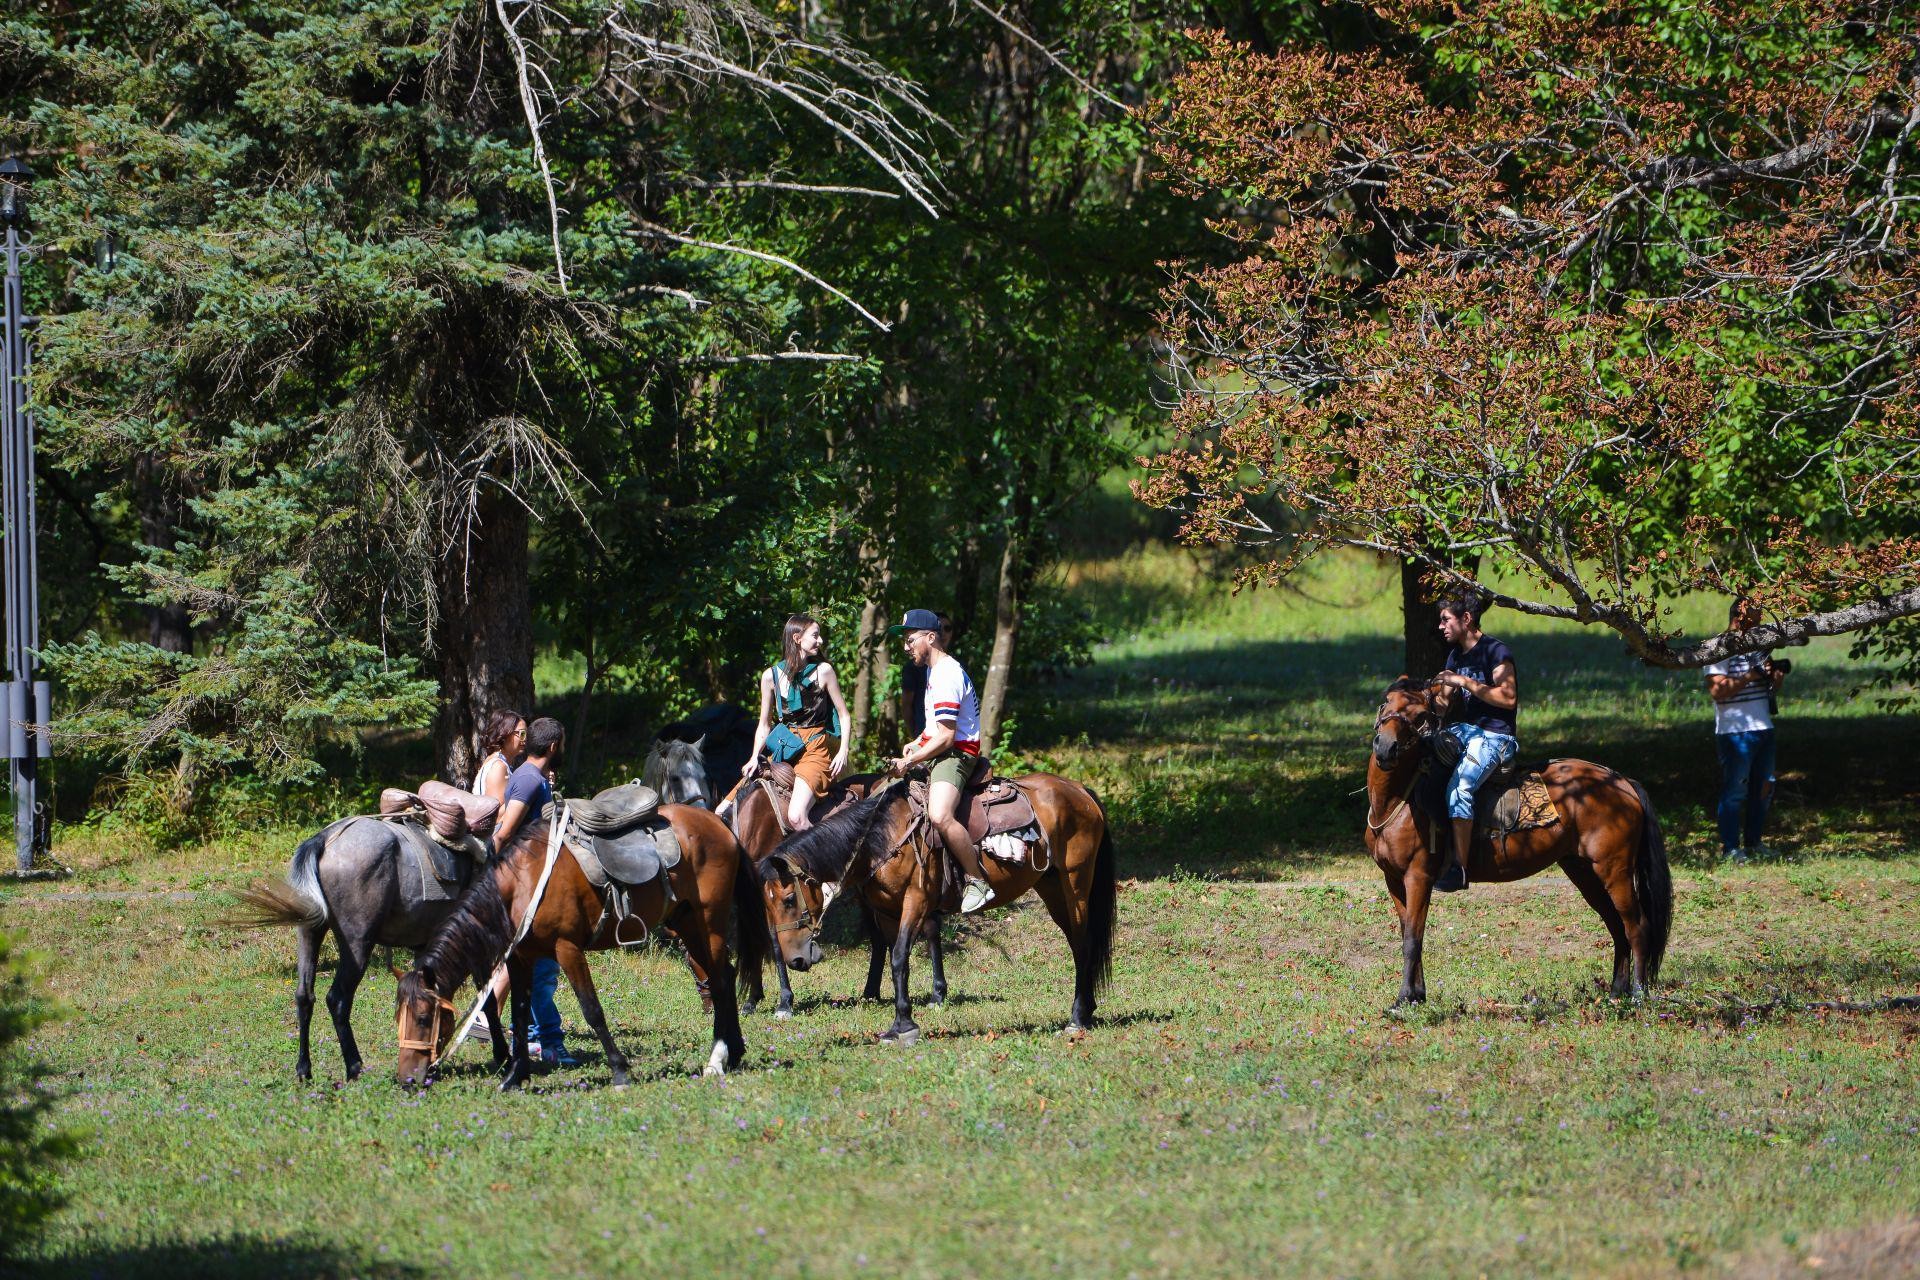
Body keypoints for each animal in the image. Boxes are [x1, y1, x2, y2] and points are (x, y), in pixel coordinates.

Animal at [232, 821, 510, 1082]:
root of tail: (324, 839)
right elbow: (487, 999)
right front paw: (502, 1054)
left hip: (309, 932)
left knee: (304, 996)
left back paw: (304, 1070)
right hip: (357, 944)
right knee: (338, 999)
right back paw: (354, 1067)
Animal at [393, 802, 768, 1090]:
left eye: (424, 1018)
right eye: (400, 1016)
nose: (407, 1079)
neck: (524, 885)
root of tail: (718, 824)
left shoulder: (567, 949)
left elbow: (592, 1010)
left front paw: (619, 1070)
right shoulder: (520, 960)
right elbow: (518, 1012)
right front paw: (515, 1076)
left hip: (710, 921)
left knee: (719, 983)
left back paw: (716, 1058)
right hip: (687, 923)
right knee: (725, 976)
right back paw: (734, 1052)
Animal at [725, 771, 952, 1020]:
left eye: (790, 900)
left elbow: (775, 943)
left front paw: (784, 1002)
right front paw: (753, 1000)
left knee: (927, 928)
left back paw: (934, 993)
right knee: (882, 937)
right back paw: (871, 993)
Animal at [748, 775, 1113, 1043]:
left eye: (789, 900)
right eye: (767, 903)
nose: (796, 960)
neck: (882, 837)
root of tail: (1079, 790)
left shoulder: (916, 901)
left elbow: (899, 957)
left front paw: (906, 1025)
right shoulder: (887, 911)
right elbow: (896, 961)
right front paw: (899, 1024)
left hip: (1075, 884)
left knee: (1083, 944)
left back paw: (1077, 1018)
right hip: (1051, 887)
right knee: (1077, 943)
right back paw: (1087, 1010)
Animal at [1367, 679, 1666, 1013]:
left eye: (1420, 716)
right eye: (1385, 703)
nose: (1386, 747)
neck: (1398, 800)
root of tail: (1622, 782)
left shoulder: (1418, 877)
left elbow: (1412, 939)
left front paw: (1403, 999)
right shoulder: (1394, 879)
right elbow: (1408, 931)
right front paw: (1417, 996)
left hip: (1615, 871)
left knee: (1637, 927)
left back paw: (1638, 995)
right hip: (1584, 871)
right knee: (1616, 926)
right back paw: (1616, 993)